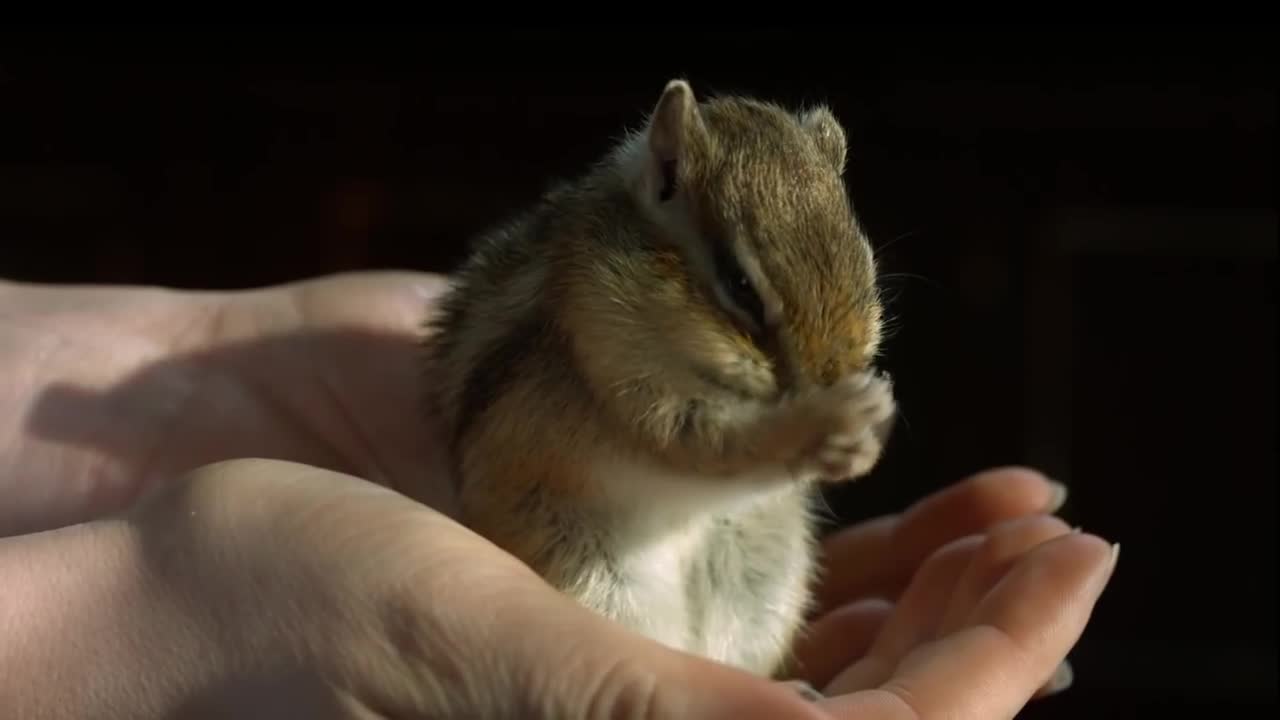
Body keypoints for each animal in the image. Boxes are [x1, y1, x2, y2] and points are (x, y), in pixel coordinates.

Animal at [421, 78, 896, 697]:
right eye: (740, 285)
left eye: (866, 266)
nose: (831, 381)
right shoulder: (613, 361)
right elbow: (701, 445)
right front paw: (829, 425)